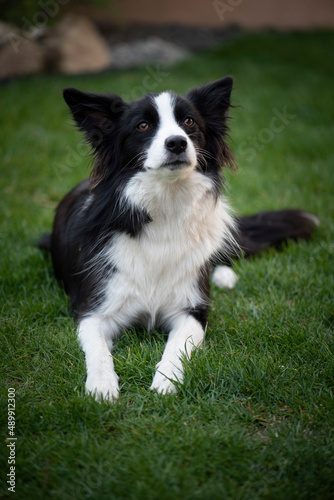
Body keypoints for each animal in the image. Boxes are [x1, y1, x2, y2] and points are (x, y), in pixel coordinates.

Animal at [39, 76, 318, 400]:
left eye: (188, 122)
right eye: (143, 126)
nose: (177, 142)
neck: (166, 206)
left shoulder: (192, 310)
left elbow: (178, 344)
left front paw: (167, 379)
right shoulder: (93, 311)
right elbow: (97, 350)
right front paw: (102, 386)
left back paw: (223, 275)